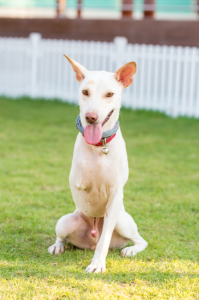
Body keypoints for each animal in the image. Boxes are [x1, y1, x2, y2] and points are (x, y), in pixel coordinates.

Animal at [48, 55, 148, 274]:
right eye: (85, 92)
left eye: (109, 94)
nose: (91, 117)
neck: (100, 145)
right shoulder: (78, 181)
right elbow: (85, 179)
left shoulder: (116, 194)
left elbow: (104, 240)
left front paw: (97, 264)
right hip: (65, 222)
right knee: (62, 237)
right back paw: (57, 246)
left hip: (121, 221)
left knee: (139, 240)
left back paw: (129, 250)